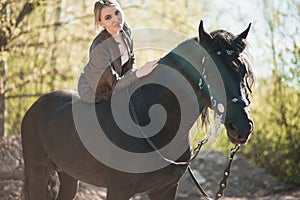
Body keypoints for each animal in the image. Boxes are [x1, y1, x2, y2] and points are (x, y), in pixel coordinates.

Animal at [21, 20, 254, 200]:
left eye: (243, 71)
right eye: (213, 72)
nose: (242, 127)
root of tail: (35, 107)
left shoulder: (166, 189)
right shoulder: (119, 188)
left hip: (69, 175)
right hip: (37, 171)